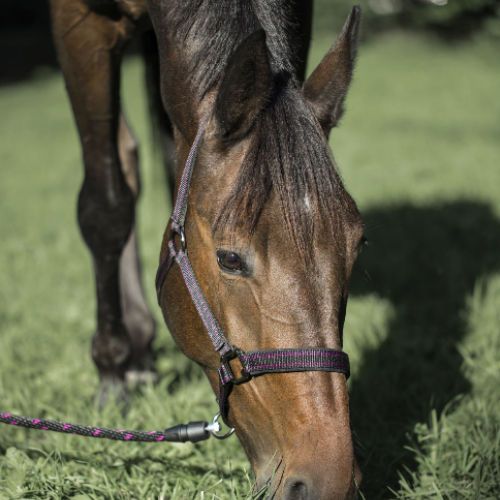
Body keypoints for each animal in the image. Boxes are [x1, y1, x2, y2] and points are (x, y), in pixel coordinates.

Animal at [49, 1, 364, 498]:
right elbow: (106, 207)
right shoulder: (80, 25)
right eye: (229, 259)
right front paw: (111, 376)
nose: (328, 482)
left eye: (358, 245)